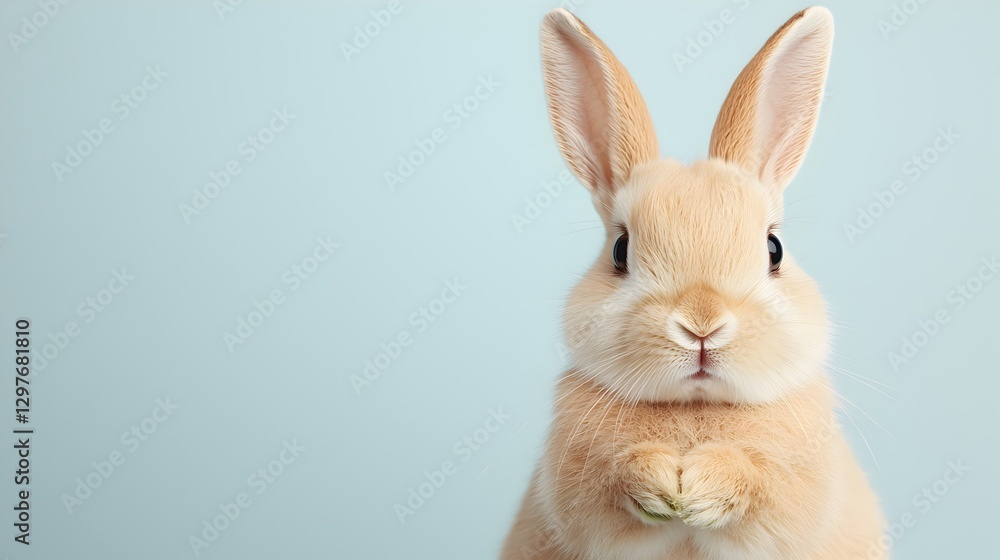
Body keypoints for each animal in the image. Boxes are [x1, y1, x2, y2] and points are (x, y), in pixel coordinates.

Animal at [501, 6, 886, 560]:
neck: (696, 408)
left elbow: (760, 485)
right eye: (620, 251)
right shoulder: (576, 489)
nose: (702, 326)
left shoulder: (796, 492)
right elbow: (611, 483)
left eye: (774, 249)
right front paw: (662, 484)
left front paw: (703, 488)